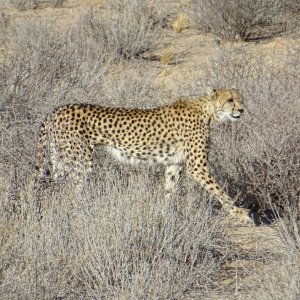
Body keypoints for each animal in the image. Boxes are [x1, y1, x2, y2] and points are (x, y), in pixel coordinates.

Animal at [35, 88, 253, 224]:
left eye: (241, 99)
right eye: (230, 100)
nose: (242, 109)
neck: (208, 111)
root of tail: (56, 110)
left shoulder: (174, 164)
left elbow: (169, 191)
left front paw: (165, 215)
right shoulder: (197, 168)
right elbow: (219, 191)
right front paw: (240, 214)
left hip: (60, 160)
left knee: (52, 190)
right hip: (80, 162)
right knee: (70, 194)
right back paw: (78, 215)